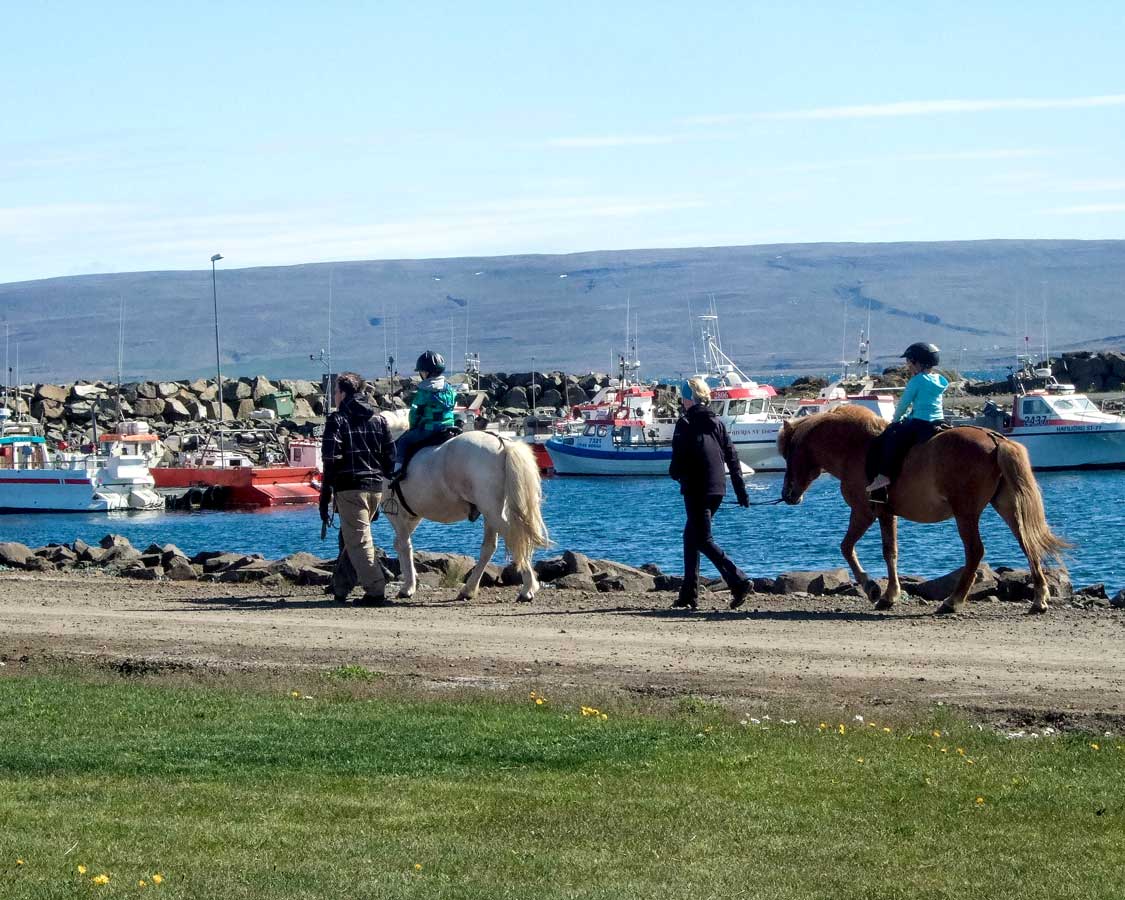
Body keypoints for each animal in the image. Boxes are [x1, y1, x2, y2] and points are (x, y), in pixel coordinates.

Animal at [380, 411, 551, 603]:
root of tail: (503, 443)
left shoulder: (397, 516)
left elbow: (404, 546)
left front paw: (408, 587)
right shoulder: (412, 517)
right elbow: (401, 544)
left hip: (492, 512)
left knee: (514, 538)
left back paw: (527, 588)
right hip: (491, 514)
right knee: (490, 547)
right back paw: (469, 589)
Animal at [778, 405, 1066, 612]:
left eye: (788, 453)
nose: (787, 495)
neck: (856, 449)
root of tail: (995, 440)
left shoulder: (865, 512)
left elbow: (850, 547)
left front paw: (874, 590)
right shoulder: (886, 514)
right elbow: (888, 552)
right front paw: (887, 594)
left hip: (966, 513)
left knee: (975, 551)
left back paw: (952, 601)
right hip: (1007, 507)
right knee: (1027, 543)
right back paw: (1039, 599)